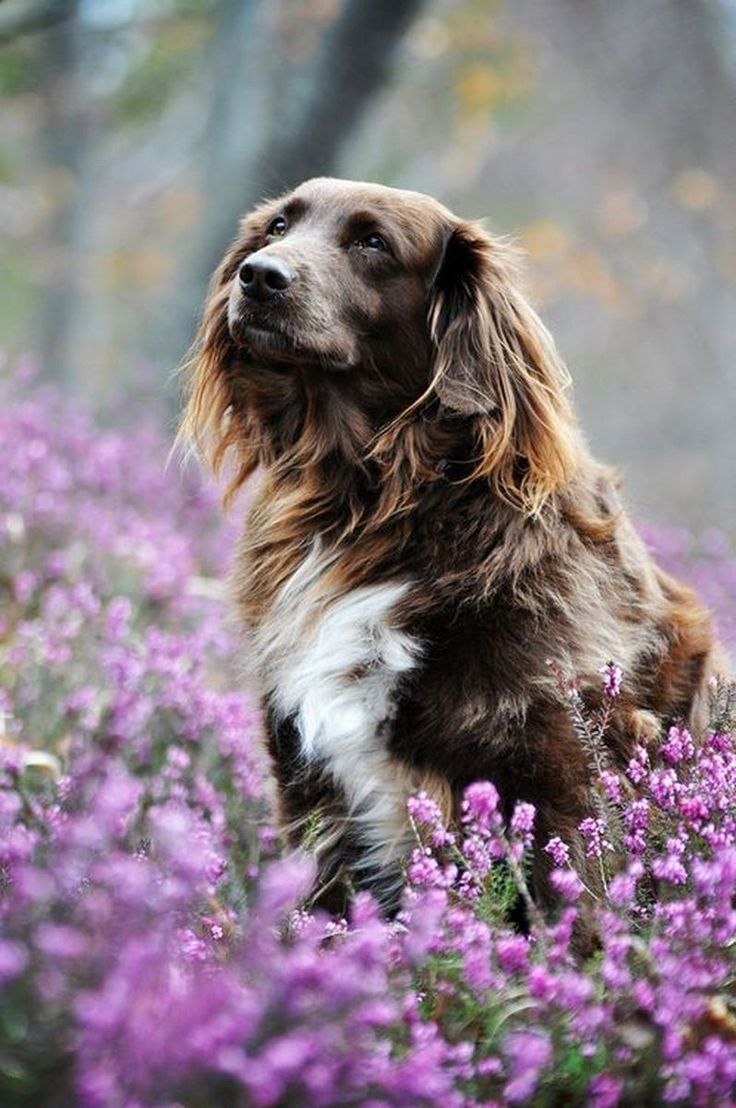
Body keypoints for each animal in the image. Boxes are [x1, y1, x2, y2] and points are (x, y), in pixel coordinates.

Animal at [179, 177, 722, 926]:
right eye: (278, 228)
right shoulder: (310, 785)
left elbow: (575, 912)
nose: (258, 277)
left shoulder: (563, 767)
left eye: (372, 242)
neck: (373, 502)